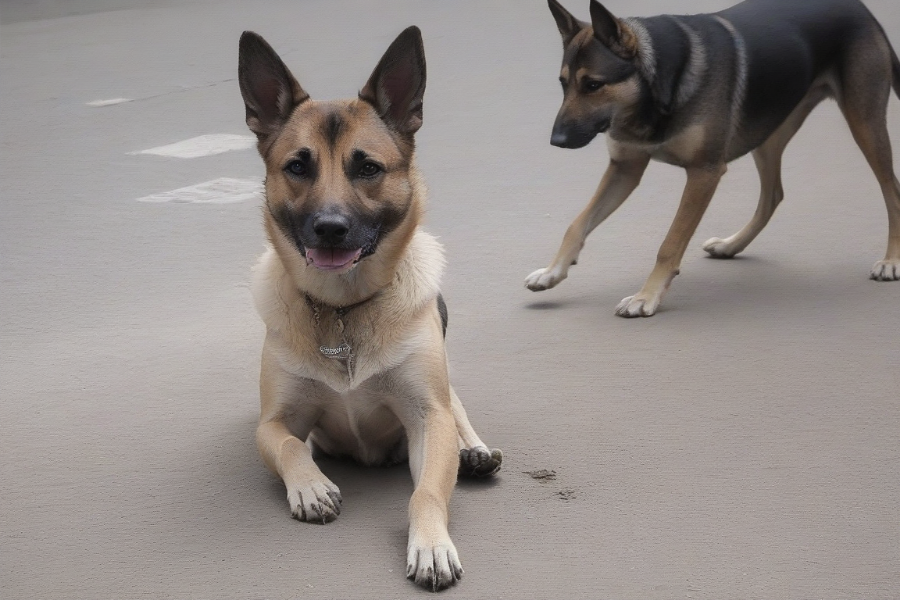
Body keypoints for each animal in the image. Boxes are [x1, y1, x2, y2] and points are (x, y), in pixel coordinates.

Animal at [239, 25, 502, 588]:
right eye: (298, 166)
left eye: (368, 169)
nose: (330, 228)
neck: (344, 309)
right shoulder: (272, 423)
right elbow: (290, 444)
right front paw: (310, 485)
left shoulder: (427, 418)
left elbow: (426, 491)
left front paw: (430, 543)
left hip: (443, 395)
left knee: (459, 410)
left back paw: (473, 451)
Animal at [524, 0, 900, 316]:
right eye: (563, 84)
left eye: (593, 85)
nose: (556, 141)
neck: (659, 85)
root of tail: (858, 6)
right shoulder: (624, 170)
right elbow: (576, 225)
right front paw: (552, 272)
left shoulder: (703, 174)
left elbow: (669, 244)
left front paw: (647, 296)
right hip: (767, 134)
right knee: (773, 195)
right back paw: (732, 245)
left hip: (864, 124)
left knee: (891, 190)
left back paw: (891, 260)